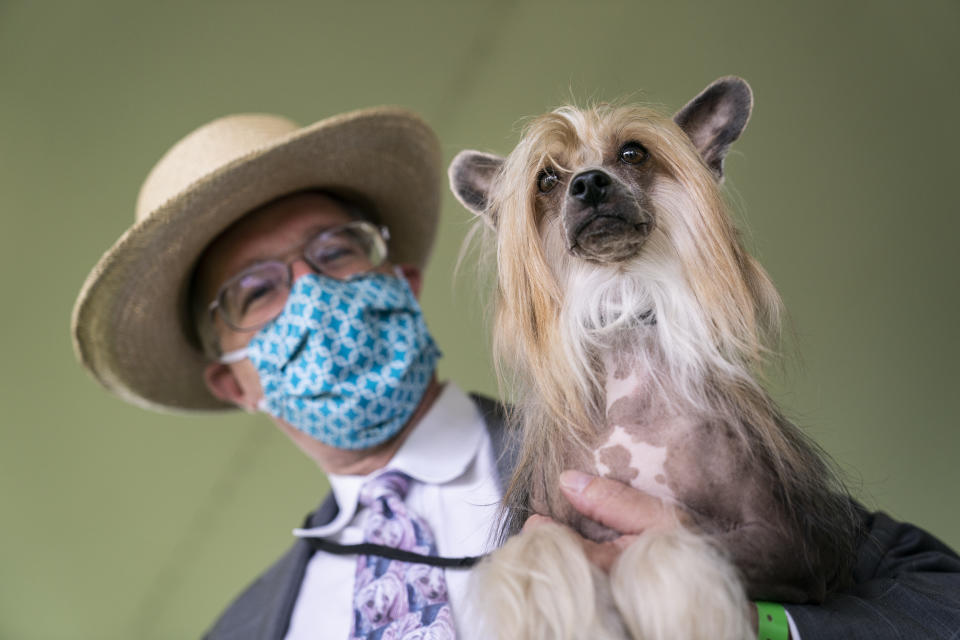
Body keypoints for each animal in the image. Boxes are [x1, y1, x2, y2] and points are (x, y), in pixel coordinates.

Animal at [446, 79, 860, 640]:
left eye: (632, 153)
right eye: (547, 179)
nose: (588, 184)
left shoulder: (786, 551)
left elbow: (661, 540)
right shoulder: (543, 523)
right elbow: (542, 547)